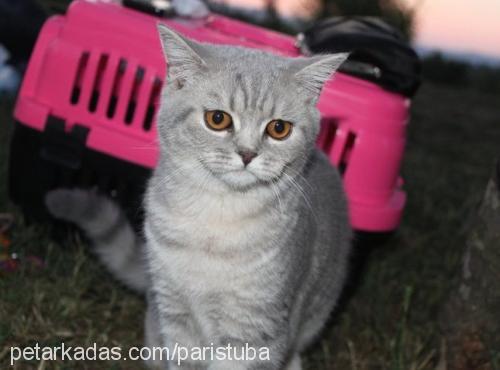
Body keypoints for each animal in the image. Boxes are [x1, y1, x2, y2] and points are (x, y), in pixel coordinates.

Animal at [46, 24, 352, 368]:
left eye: (278, 129)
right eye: (217, 119)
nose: (248, 154)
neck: (217, 217)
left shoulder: (255, 327)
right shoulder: (176, 315)